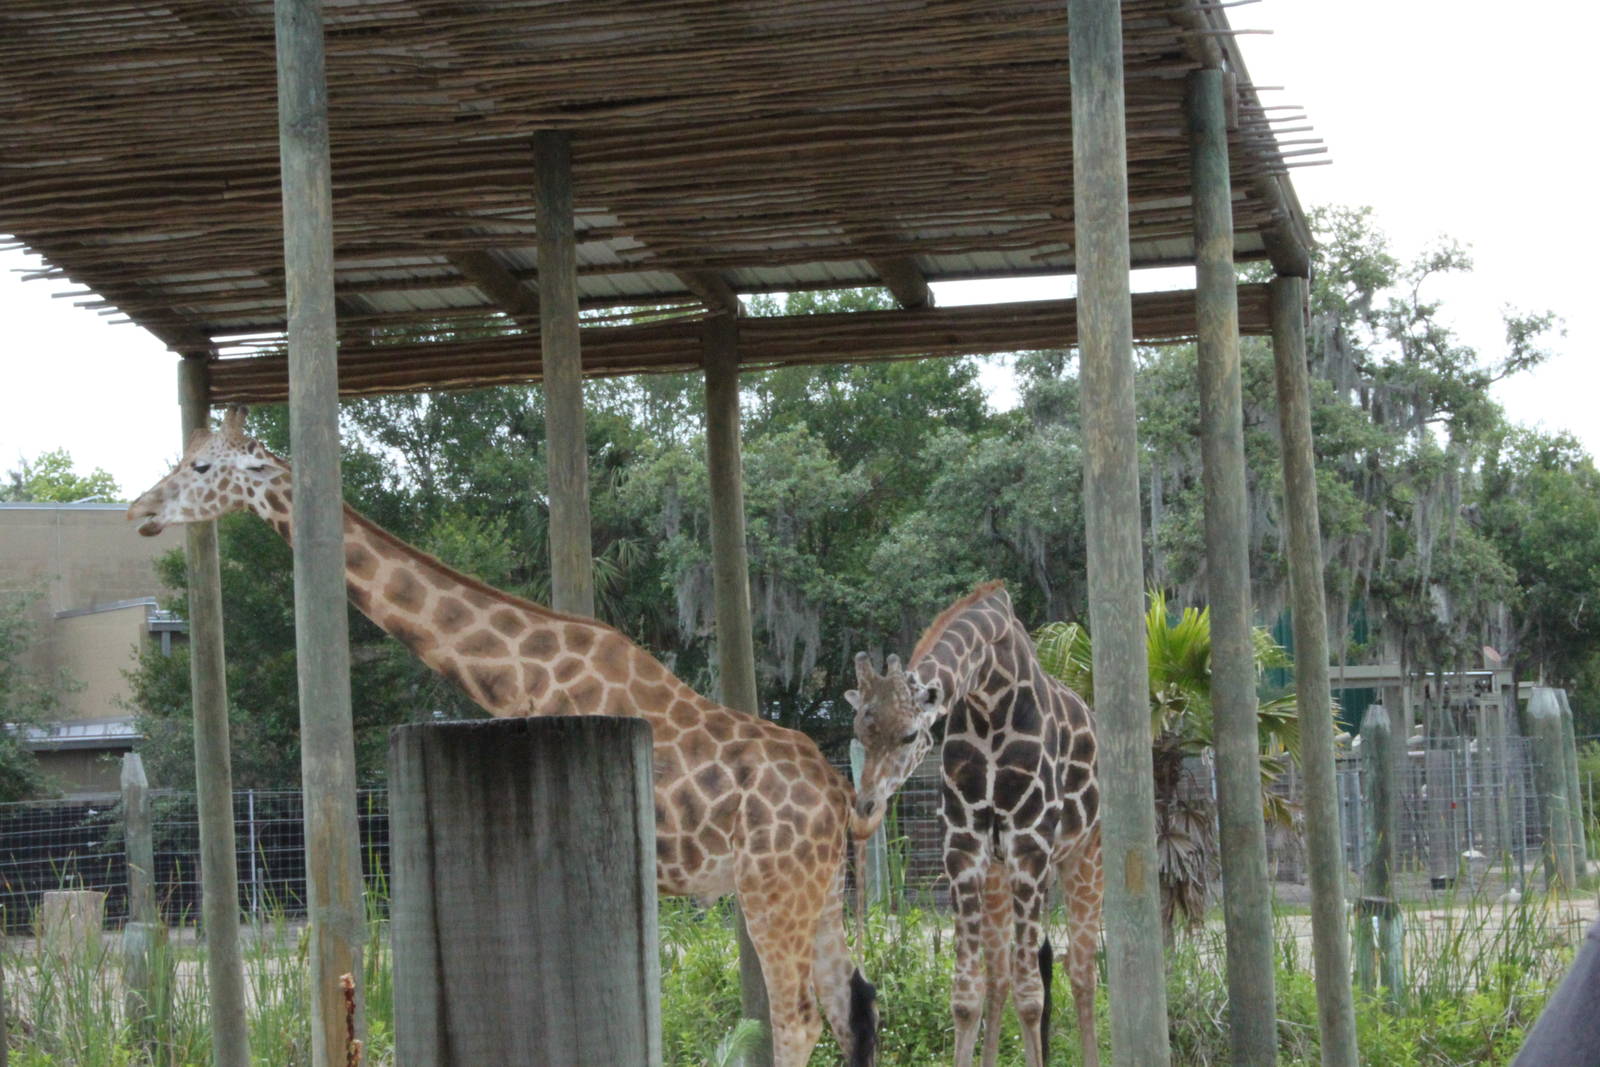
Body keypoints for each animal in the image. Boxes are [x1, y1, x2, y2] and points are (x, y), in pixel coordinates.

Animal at [127, 407, 877, 1067]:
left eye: (200, 465)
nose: (139, 511)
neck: (520, 671)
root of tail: (838, 793)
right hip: (819, 892)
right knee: (852, 1009)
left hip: (773, 889)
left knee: (799, 1018)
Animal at [847, 581, 1101, 1067]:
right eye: (859, 732)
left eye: (910, 735)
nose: (865, 812)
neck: (990, 695)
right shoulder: (964, 846)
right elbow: (967, 996)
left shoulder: (1029, 843)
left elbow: (1032, 995)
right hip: (1000, 871)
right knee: (1000, 974)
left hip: (1085, 852)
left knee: (1082, 971)